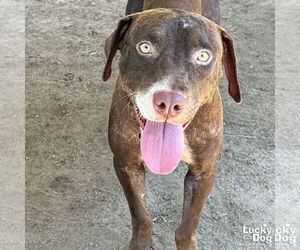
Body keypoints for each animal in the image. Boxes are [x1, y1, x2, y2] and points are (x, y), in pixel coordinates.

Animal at [102, 0, 240, 249]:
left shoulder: (203, 172)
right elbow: (141, 216)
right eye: (144, 48)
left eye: (203, 56)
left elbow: (187, 227)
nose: (169, 101)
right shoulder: (127, 165)